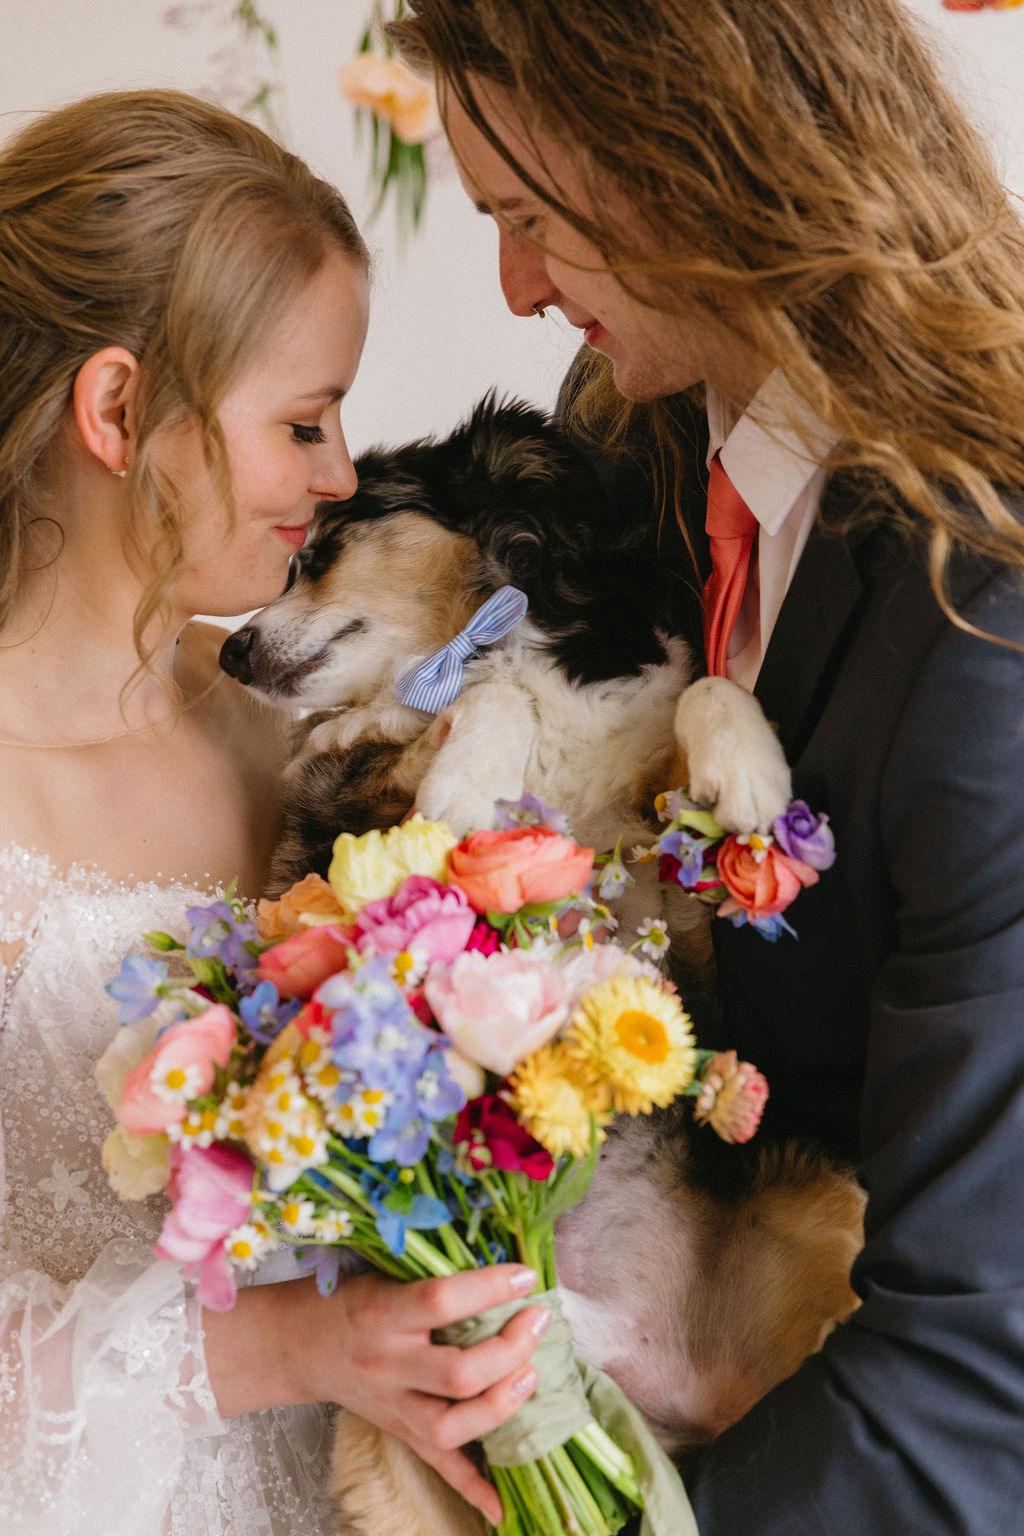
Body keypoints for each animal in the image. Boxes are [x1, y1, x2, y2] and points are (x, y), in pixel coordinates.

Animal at [222, 399, 865, 1536]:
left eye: (318, 548)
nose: (230, 649)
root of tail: (672, 1389)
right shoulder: (340, 832)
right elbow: (467, 726)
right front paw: (472, 773)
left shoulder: (684, 925)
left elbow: (700, 690)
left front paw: (748, 770)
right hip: (392, 1458)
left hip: (832, 1198)